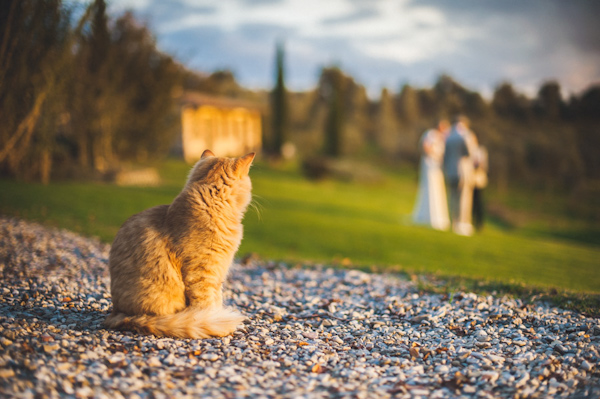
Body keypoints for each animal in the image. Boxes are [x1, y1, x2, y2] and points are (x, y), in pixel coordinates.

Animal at [104, 152, 254, 340]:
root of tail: (118, 314)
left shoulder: (218, 275)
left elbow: (217, 300)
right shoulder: (202, 274)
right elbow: (207, 306)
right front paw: (214, 321)